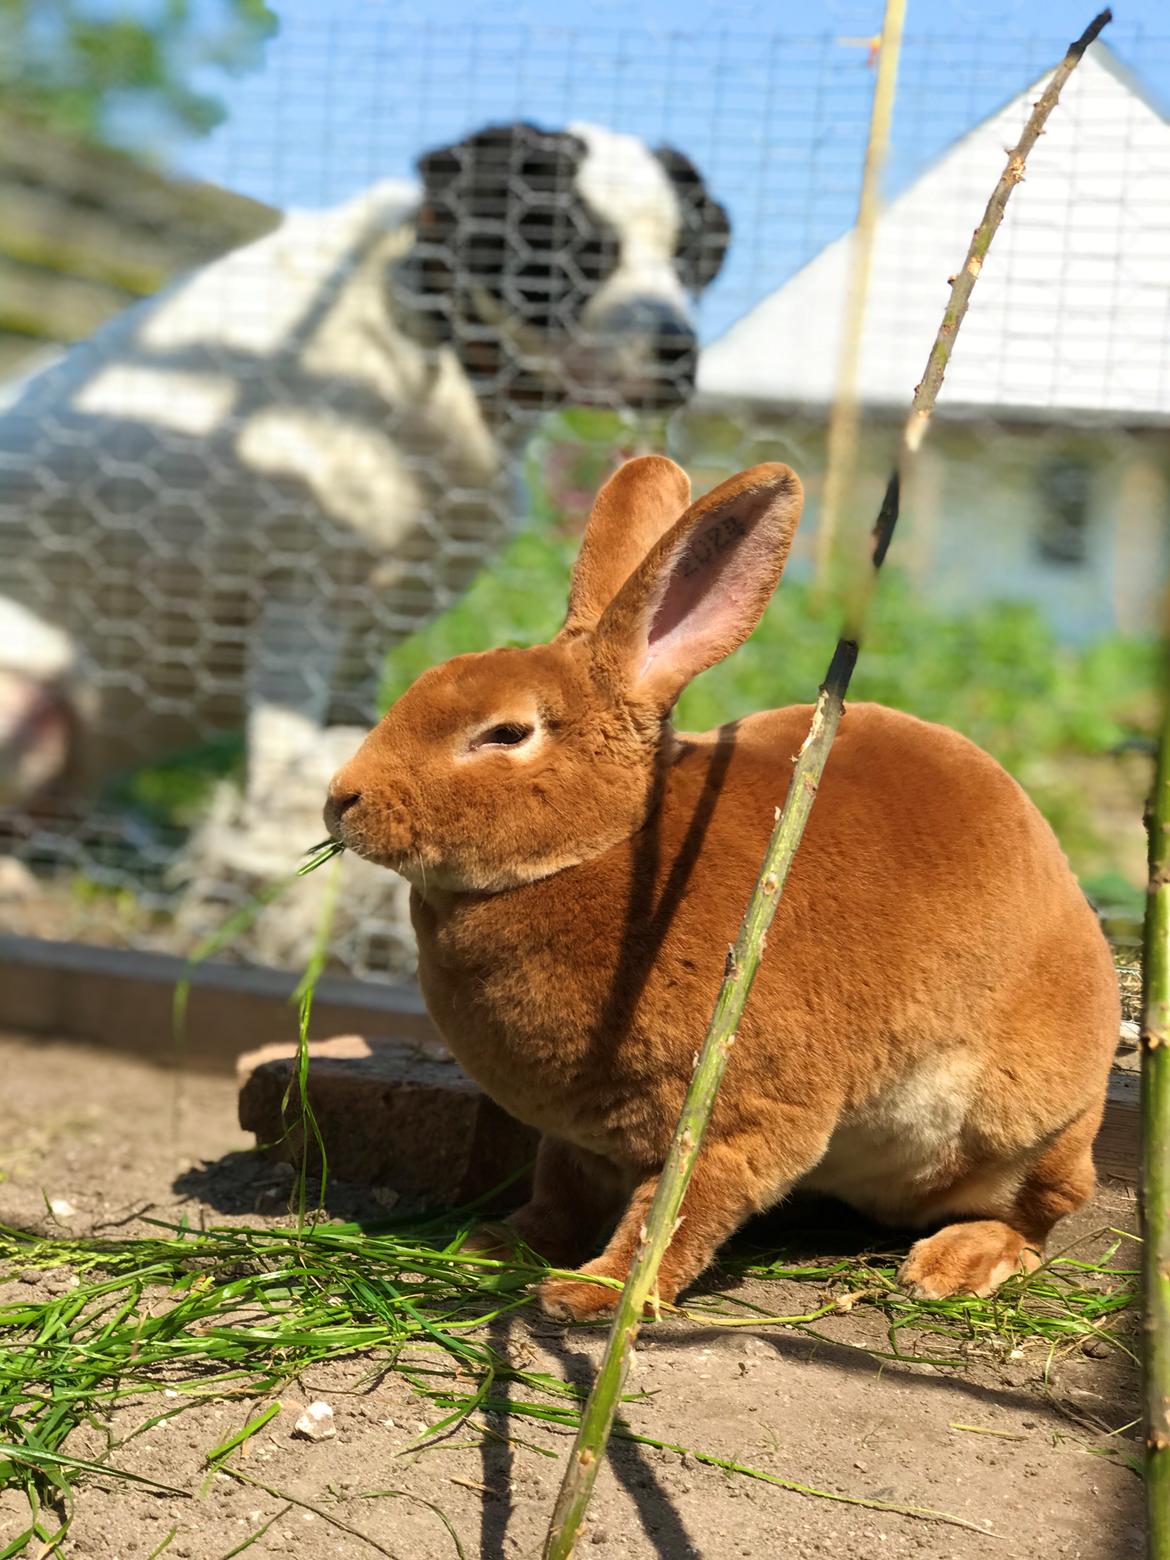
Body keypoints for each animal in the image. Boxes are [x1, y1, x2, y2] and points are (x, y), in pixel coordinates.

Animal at [326, 452, 1123, 1316]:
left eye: (506, 733)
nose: (341, 799)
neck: (611, 846)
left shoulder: (731, 1119)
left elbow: (675, 1213)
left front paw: (594, 1295)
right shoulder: (576, 1139)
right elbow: (560, 1195)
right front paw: (492, 1247)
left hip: (1022, 1126)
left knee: (1039, 1216)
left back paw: (956, 1264)